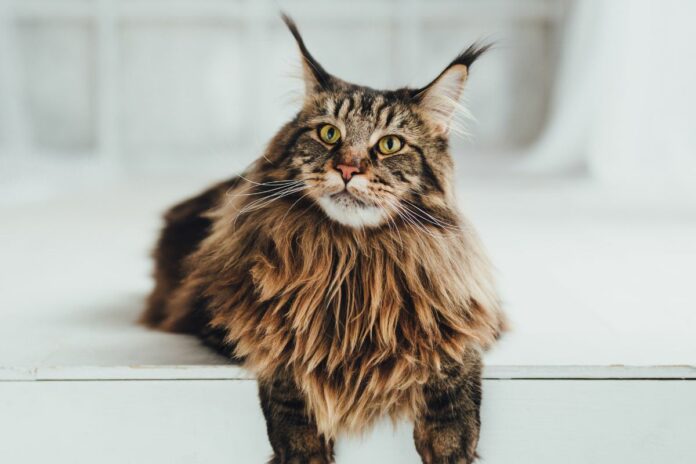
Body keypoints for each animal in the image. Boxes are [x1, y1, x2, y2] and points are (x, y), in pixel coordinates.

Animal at [143, 14, 506, 464]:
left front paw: (450, 440)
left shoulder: (472, 312)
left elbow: (452, 357)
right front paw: (304, 450)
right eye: (330, 134)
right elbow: (287, 358)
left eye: (389, 144)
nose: (348, 168)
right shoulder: (233, 315)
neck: (353, 256)